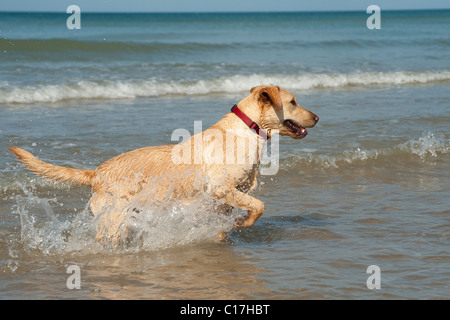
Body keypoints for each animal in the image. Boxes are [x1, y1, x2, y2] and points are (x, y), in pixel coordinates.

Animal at [8, 85, 318, 245]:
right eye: (293, 101)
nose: (316, 117)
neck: (247, 129)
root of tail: (96, 172)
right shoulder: (219, 188)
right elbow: (259, 206)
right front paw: (243, 222)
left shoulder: (224, 197)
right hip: (114, 218)